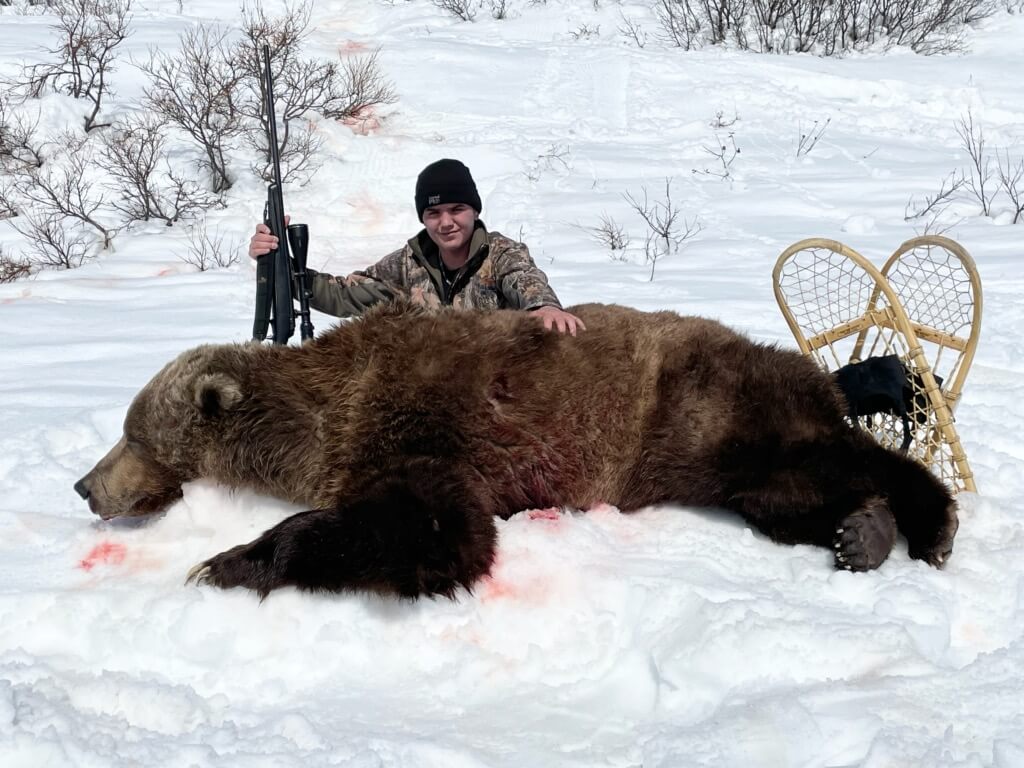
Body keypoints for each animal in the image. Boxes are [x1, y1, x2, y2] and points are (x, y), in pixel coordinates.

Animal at [73, 302, 958, 599]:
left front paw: (226, 561)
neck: (324, 411)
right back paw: (862, 531)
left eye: (131, 432)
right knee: (785, 495)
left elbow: (432, 526)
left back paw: (927, 520)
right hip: (707, 454)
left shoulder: (421, 421)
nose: (85, 485)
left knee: (833, 456)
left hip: (707, 404)